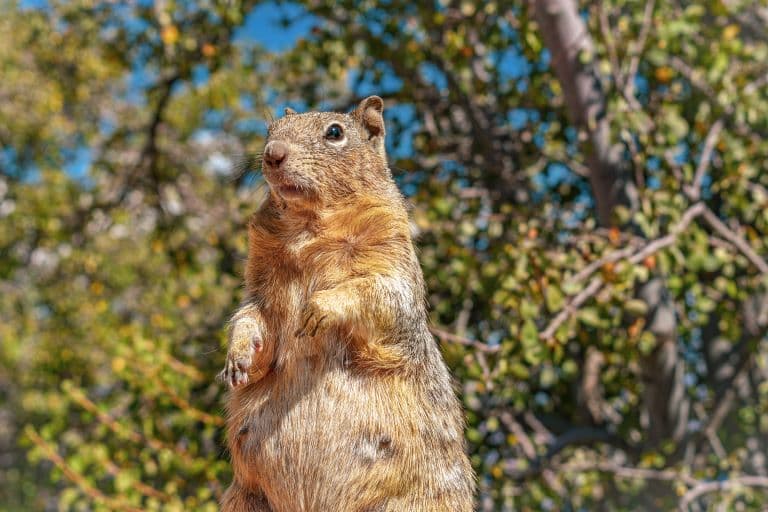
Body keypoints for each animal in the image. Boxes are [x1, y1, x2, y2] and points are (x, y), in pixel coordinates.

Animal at [218, 96, 475, 512]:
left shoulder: (394, 266)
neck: (309, 228)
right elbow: (251, 317)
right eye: (269, 131)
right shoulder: (260, 288)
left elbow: (380, 295)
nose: (273, 154)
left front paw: (320, 307)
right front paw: (239, 357)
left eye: (335, 132)